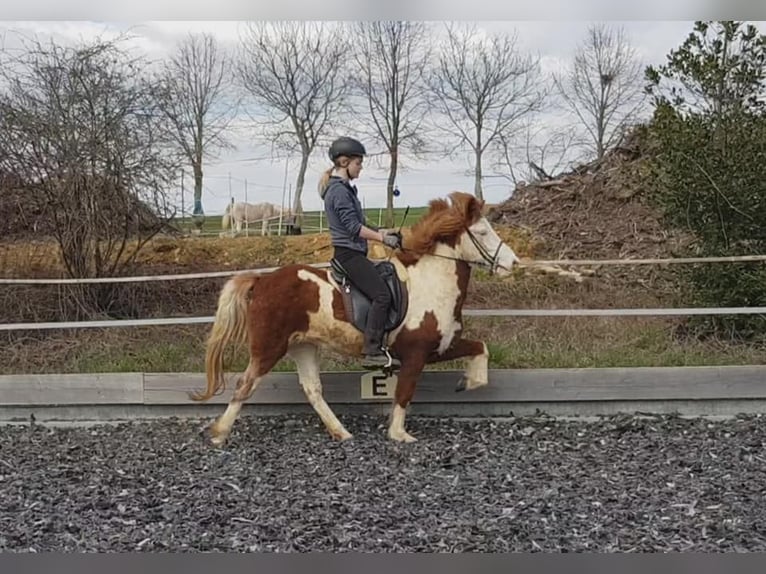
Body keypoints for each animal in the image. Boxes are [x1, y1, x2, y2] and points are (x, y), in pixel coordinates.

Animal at [191, 191, 520, 444]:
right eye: (482, 233)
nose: (513, 263)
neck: (431, 281)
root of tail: (262, 280)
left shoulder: (441, 346)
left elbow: (480, 349)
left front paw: (469, 383)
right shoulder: (416, 353)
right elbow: (404, 392)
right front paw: (399, 434)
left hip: (303, 346)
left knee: (312, 389)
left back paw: (341, 432)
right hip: (269, 347)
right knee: (245, 384)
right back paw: (219, 434)